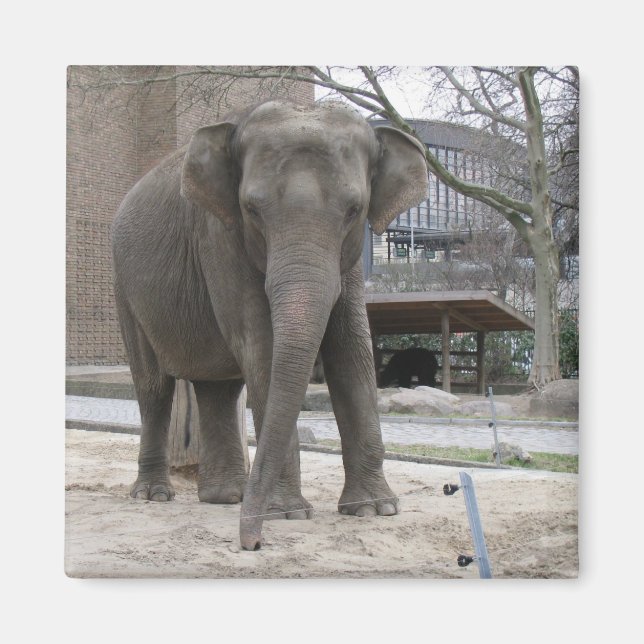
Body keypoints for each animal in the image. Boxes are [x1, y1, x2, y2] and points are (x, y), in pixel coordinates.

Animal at [111, 99, 429, 551]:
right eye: (252, 210)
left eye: (355, 211)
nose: (252, 543)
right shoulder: (218, 236)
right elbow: (262, 346)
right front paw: (288, 514)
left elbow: (352, 350)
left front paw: (374, 509)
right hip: (125, 290)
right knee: (154, 387)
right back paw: (155, 496)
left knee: (218, 388)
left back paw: (226, 498)